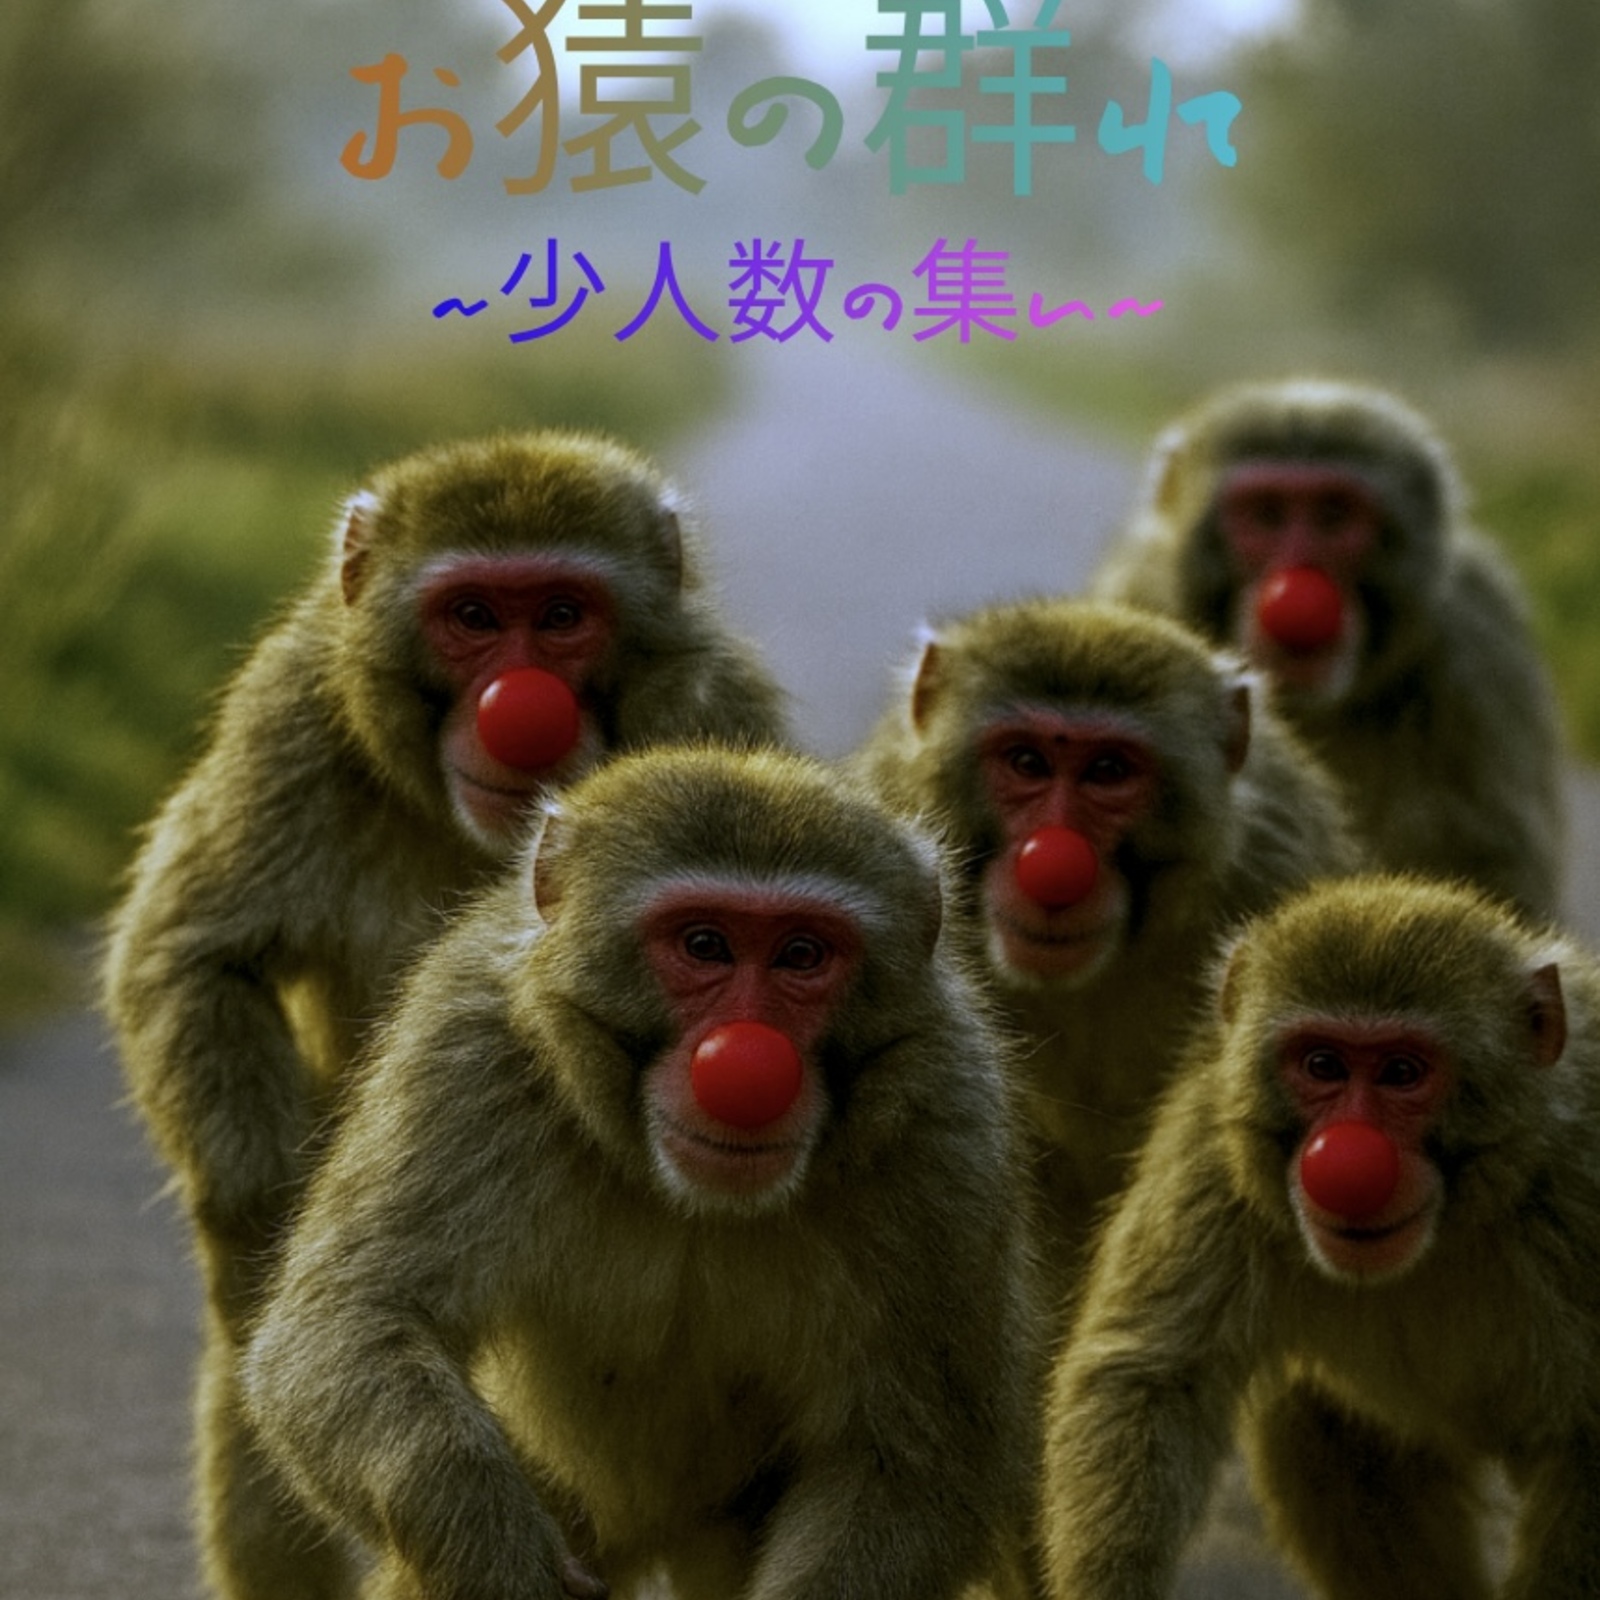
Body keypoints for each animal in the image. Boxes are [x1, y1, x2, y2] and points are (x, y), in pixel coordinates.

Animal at [100, 430, 789, 1600]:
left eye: (560, 614)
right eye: (472, 615)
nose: (522, 704)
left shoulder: (722, 723)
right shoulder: (294, 707)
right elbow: (195, 953)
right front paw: (250, 1213)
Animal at [241, 744, 1041, 1600]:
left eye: (802, 955)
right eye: (704, 945)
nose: (747, 1064)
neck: (689, 1197)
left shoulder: (948, 1133)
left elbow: (916, 1460)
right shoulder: (468, 1048)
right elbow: (348, 1326)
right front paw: (497, 1559)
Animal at [1040, 875, 1600, 1600]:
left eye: (1402, 1072)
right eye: (1323, 1064)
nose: (1342, 1160)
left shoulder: (1580, 1186)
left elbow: (1587, 1445)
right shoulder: (1221, 1152)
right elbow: (1148, 1378)